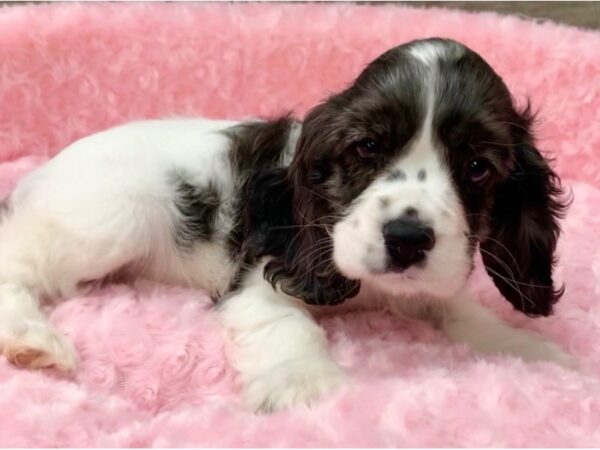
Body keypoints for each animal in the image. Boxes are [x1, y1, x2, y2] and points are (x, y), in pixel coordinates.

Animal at [0, 37, 572, 412]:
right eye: (367, 146)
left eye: (477, 167)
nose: (407, 240)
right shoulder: (261, 279)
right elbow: (288, 325)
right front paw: (307, 386)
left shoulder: (434, 281)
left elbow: (468, 316)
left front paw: (538, 356)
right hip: (112, 218)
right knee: (17, 266)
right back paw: (33, 339)